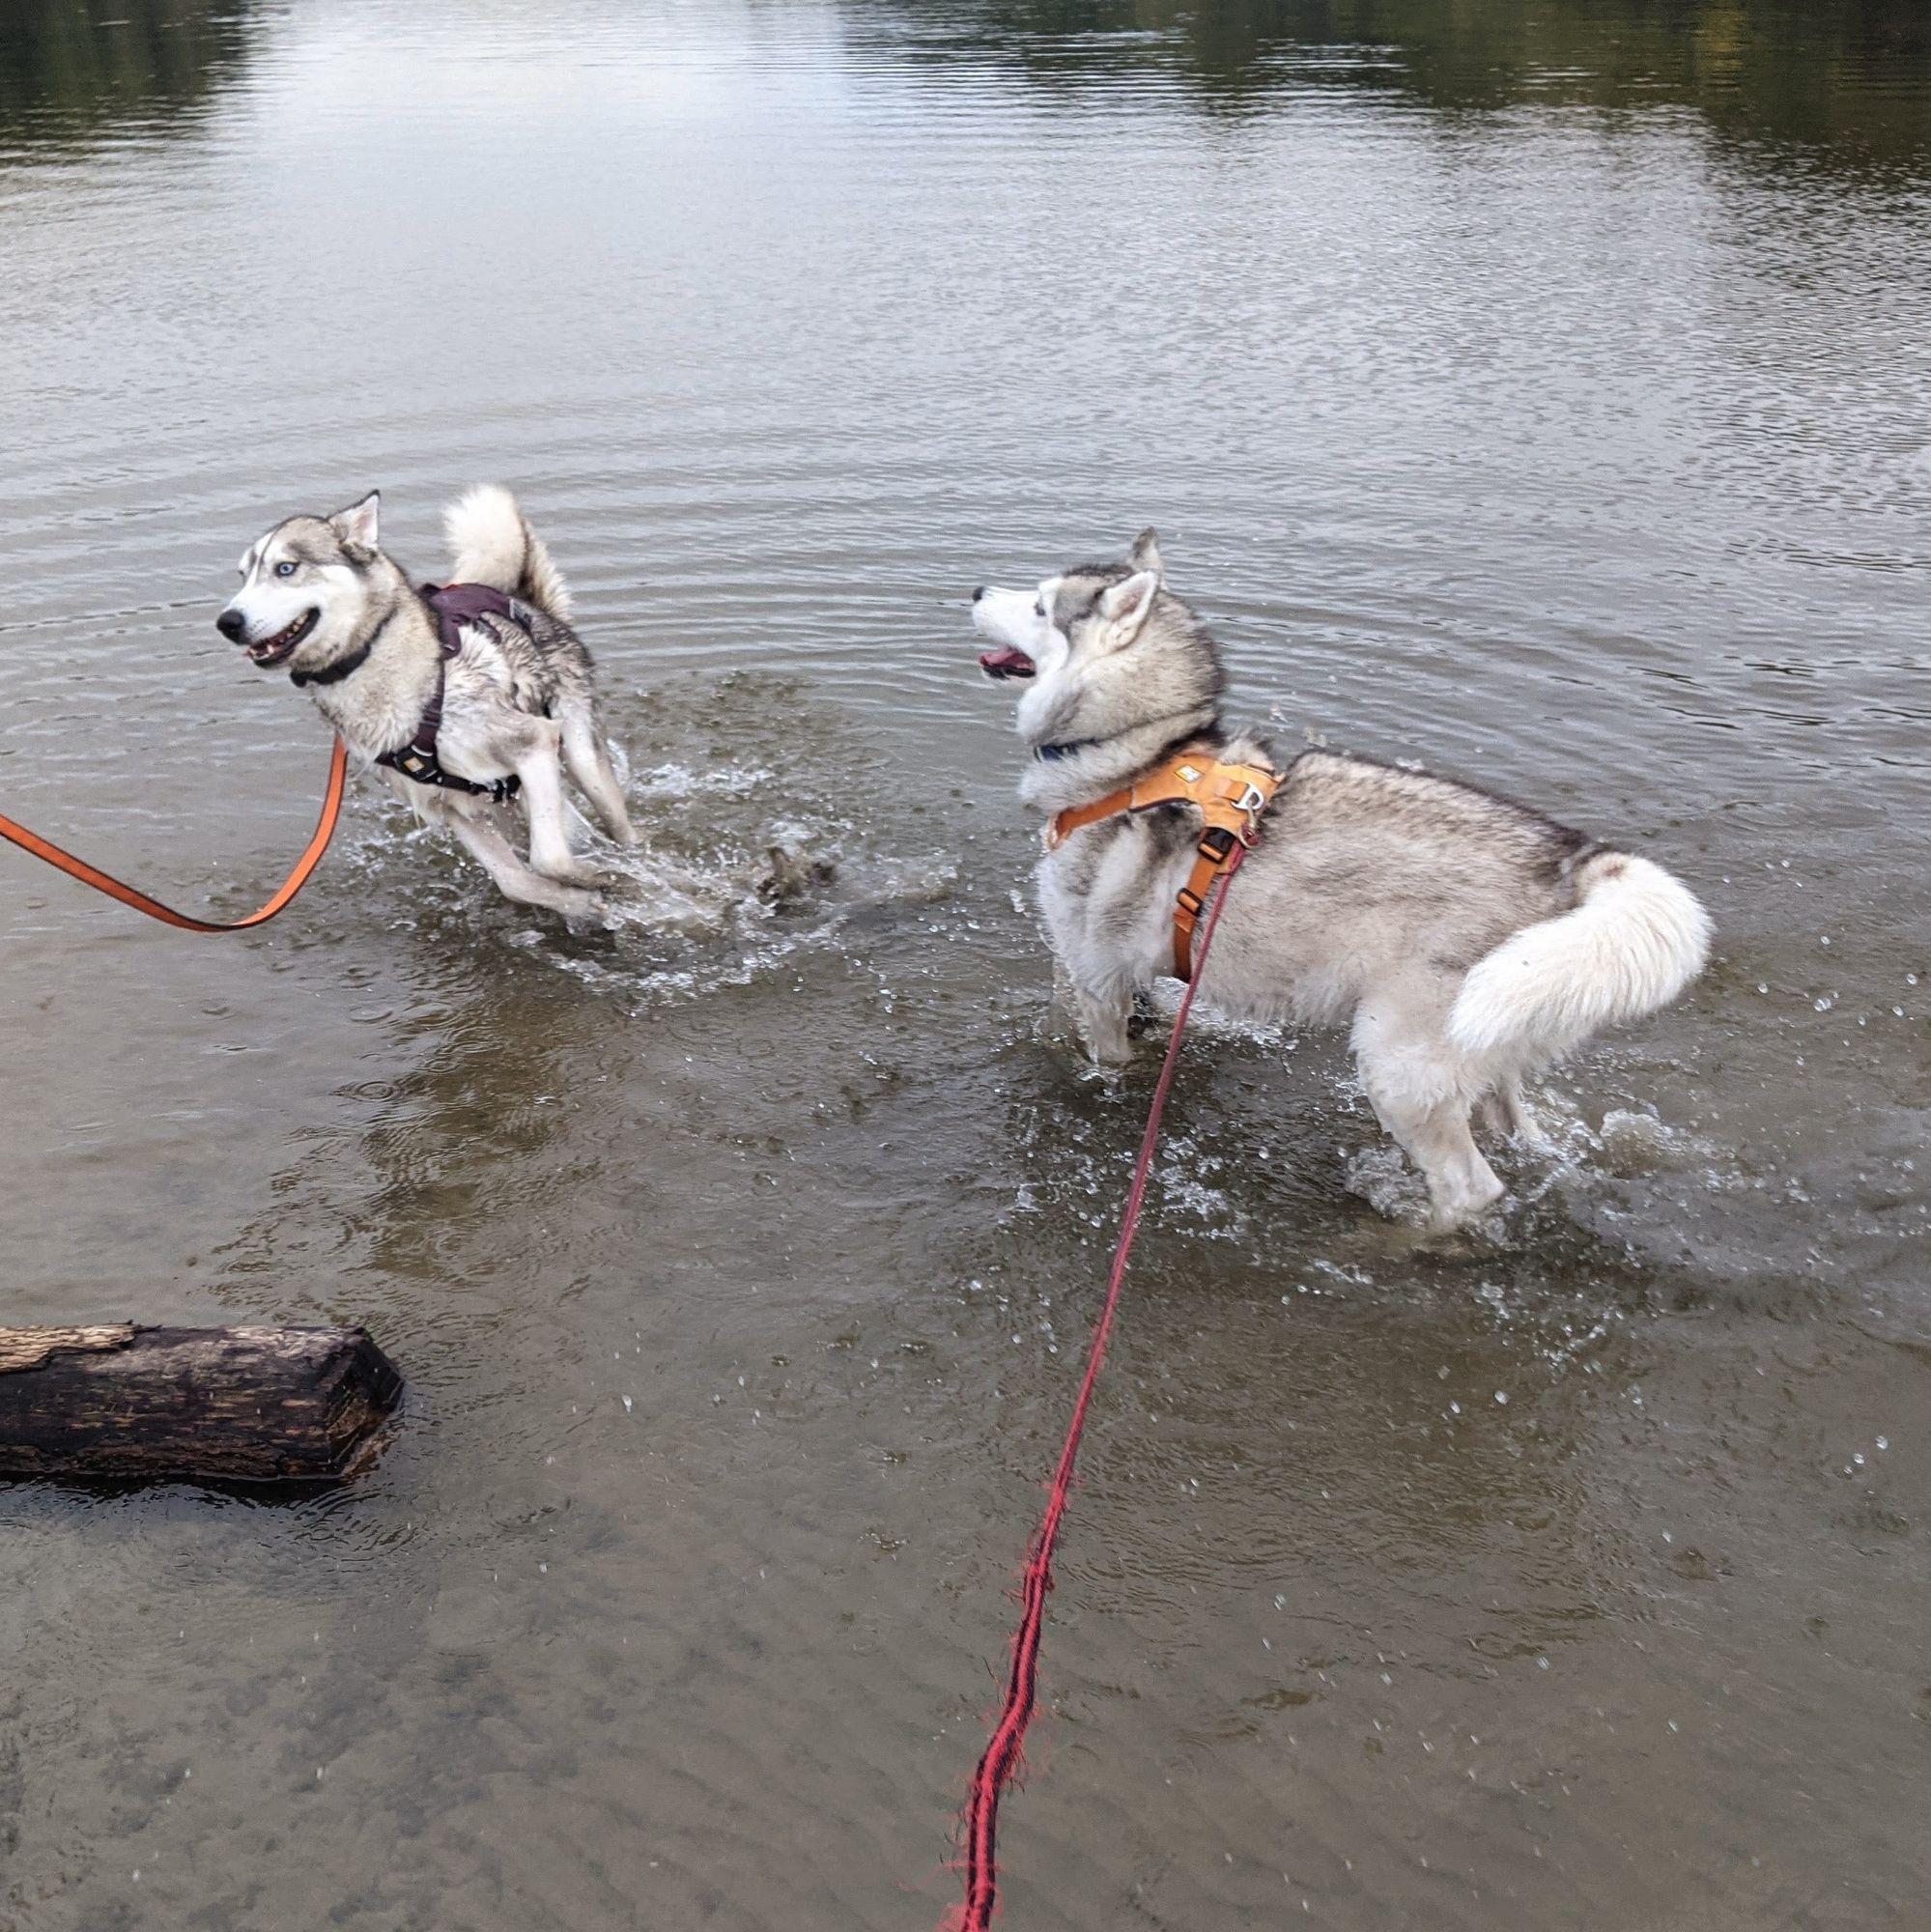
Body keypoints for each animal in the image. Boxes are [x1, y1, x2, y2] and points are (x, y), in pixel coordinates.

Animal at [216, 487, 640, 916]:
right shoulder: (450, 803)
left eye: (286, 568)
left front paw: (606, 878)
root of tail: (527, 603)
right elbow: (517, 881)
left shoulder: (534, 741)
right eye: (244, 576)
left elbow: (549, 858)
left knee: (621, 829)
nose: (227, 622)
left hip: (582, 761)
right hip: (508, 800)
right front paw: (581, 901)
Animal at [973, 533, 1715, 1221]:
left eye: (1039, 605)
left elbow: (1101, 1054)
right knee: (1515, 1130)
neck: (1142, 754)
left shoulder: (1096, 972)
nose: (976, 590)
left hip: (1399, 1066)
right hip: (1499, 1036)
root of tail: (1570, 861)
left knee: (1471, 1189)